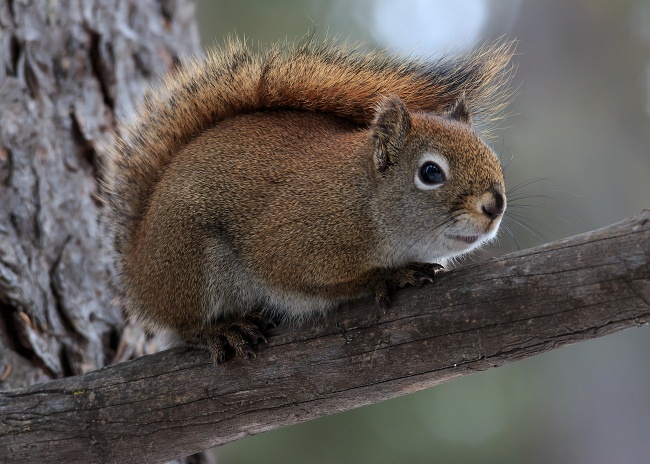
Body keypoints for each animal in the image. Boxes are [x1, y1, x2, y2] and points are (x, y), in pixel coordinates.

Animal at [104, 37, 512, 362]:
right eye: (430, 172)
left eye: (492, 155)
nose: (495, 206)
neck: (364, 201)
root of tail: (138, 270)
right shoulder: (293, 238)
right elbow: (317, 277)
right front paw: (391, 275)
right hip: (191, 264)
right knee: (186, 326)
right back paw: (221, 330)